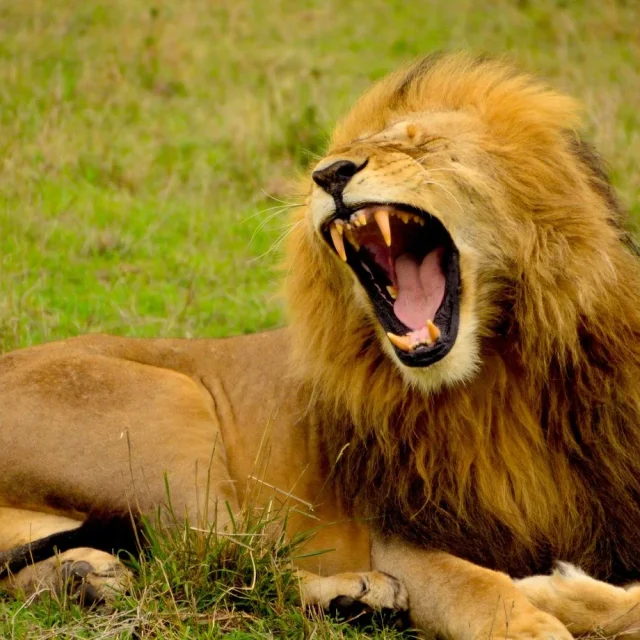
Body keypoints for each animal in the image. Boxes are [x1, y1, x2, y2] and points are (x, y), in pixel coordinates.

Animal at [3, 52, 640, 639]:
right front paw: (539, 611)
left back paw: (84, 579)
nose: (329, 173)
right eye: (342, 152)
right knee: (218, 561)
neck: (502, 375)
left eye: (420, 144)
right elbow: (480, 590)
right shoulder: (400, 537)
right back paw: (354, 594)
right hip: (172, 413)